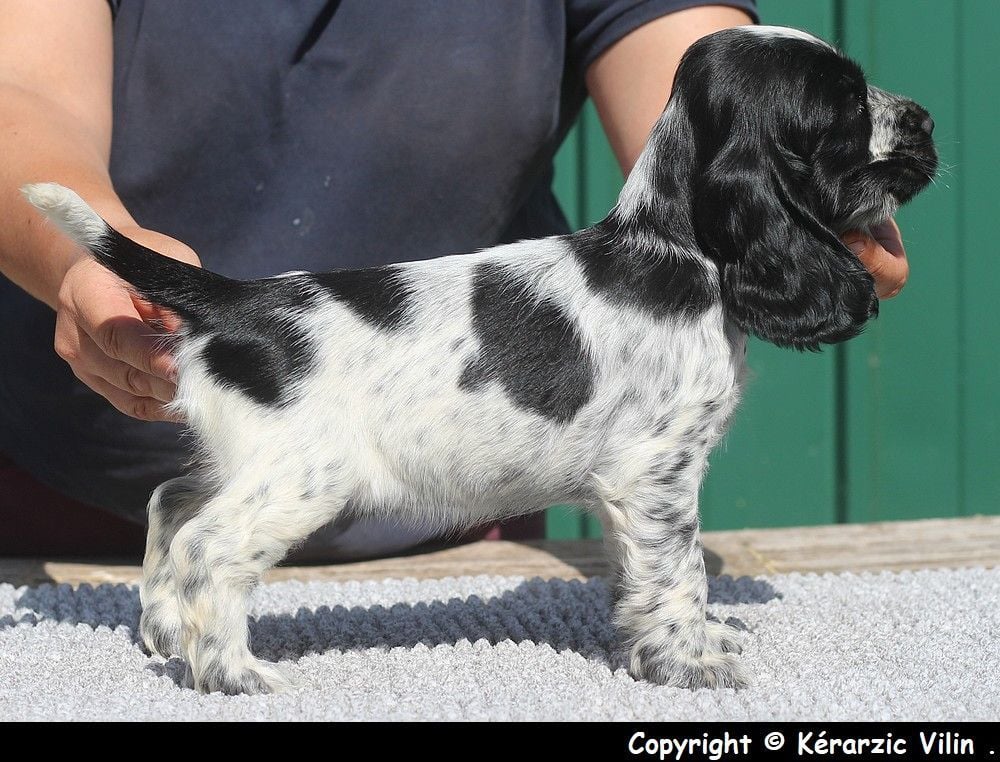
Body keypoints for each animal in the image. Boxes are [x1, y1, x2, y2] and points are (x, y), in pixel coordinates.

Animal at [27, 23, 940, 692]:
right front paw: (688, 660)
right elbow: (678, 569)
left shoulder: (635, 486)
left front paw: (663, 643)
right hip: (299, 478)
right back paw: (231, 671)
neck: (677, 253)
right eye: (845, 107)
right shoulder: (656, 473)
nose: (927, 120)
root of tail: (236, 299)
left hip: (243, 459)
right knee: (209, 548)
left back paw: (164, 633)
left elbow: (642, 574)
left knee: (171, 505)